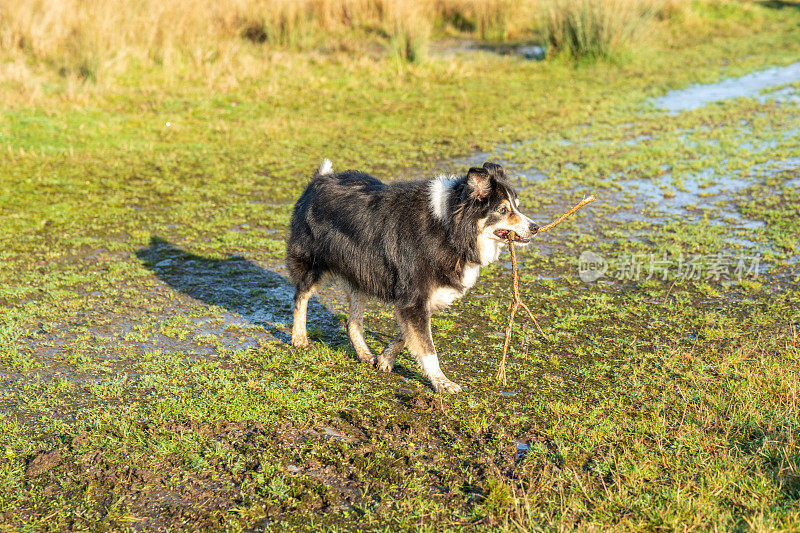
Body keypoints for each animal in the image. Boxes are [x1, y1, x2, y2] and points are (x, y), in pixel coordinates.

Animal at [286, 158, 536, 390]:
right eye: (503, 210)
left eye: (517, 206)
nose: (534, 227)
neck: (449, 228)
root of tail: (319, 179)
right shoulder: (413, 297)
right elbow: (427, 347)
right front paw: (442, 383)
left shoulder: (421, 298)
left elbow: (405, 335)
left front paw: (385, 359)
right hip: (312, 263)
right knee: (301, 297)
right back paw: (299, 338)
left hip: (360, 274)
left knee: (352, 322)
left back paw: (364, 354)